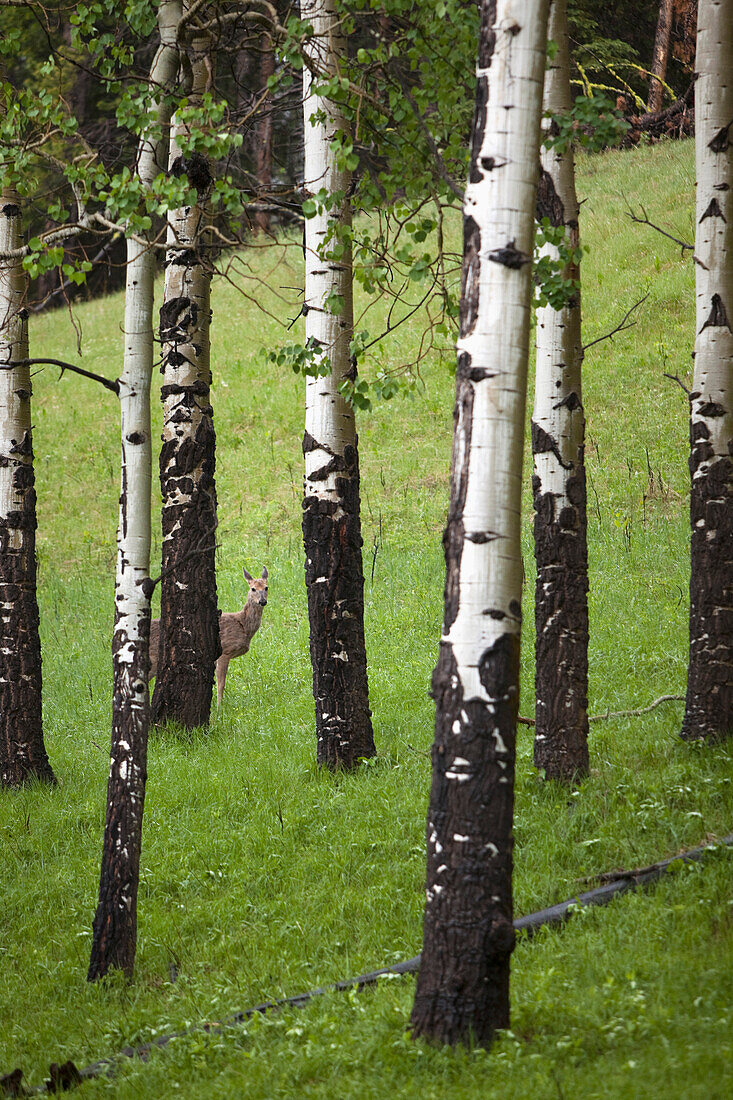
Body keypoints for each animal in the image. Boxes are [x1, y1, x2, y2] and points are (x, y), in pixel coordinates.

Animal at [147, 563, 267, 708]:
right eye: (253, 588)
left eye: (266, 587)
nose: (262, 601)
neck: (243, 625)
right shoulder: (225, 651)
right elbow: (221, 684)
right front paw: (219, 707)